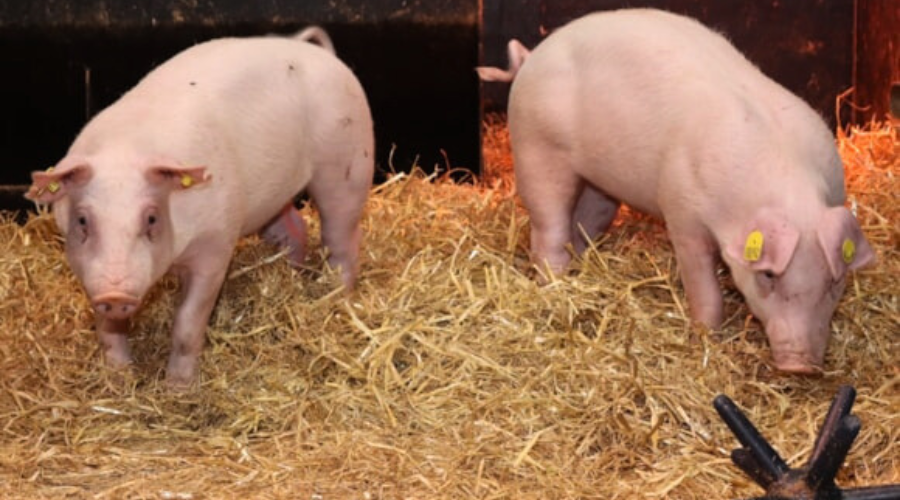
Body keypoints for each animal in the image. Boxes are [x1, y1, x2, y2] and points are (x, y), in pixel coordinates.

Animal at [26, 26, 374, 388]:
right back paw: (294, 274)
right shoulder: (86, 270)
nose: (115, 296)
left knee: (343, 239)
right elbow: (108, 329)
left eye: (151, 218)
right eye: (82, 220)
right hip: (275, 198)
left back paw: (336, 298)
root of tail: (318, 52)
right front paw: (120, 377)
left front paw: (178, 388)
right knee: (295, 227)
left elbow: (188, 323)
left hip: (348, 163)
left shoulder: (215, 246)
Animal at [477, 9, 875, 373]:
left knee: (587, 220)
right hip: (536, 148)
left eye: (834, 281)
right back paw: (556, 285)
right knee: (548, 227)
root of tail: (532, 57)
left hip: (598, 183)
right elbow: (703, 288)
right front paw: (706, 337)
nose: (800, 366)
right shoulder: (683, 213)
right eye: (768, 276)